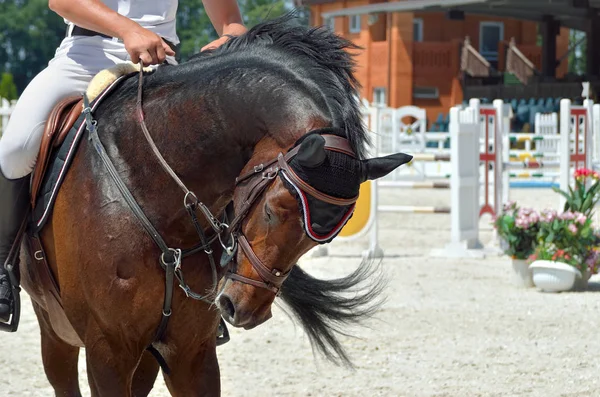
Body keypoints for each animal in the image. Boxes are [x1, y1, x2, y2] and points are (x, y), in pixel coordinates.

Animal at [18, 12, 412, 396]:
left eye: (322, 240)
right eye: (272, 211)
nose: (243, 309)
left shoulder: (190, 351)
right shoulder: (107, 351)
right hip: (54, 326)